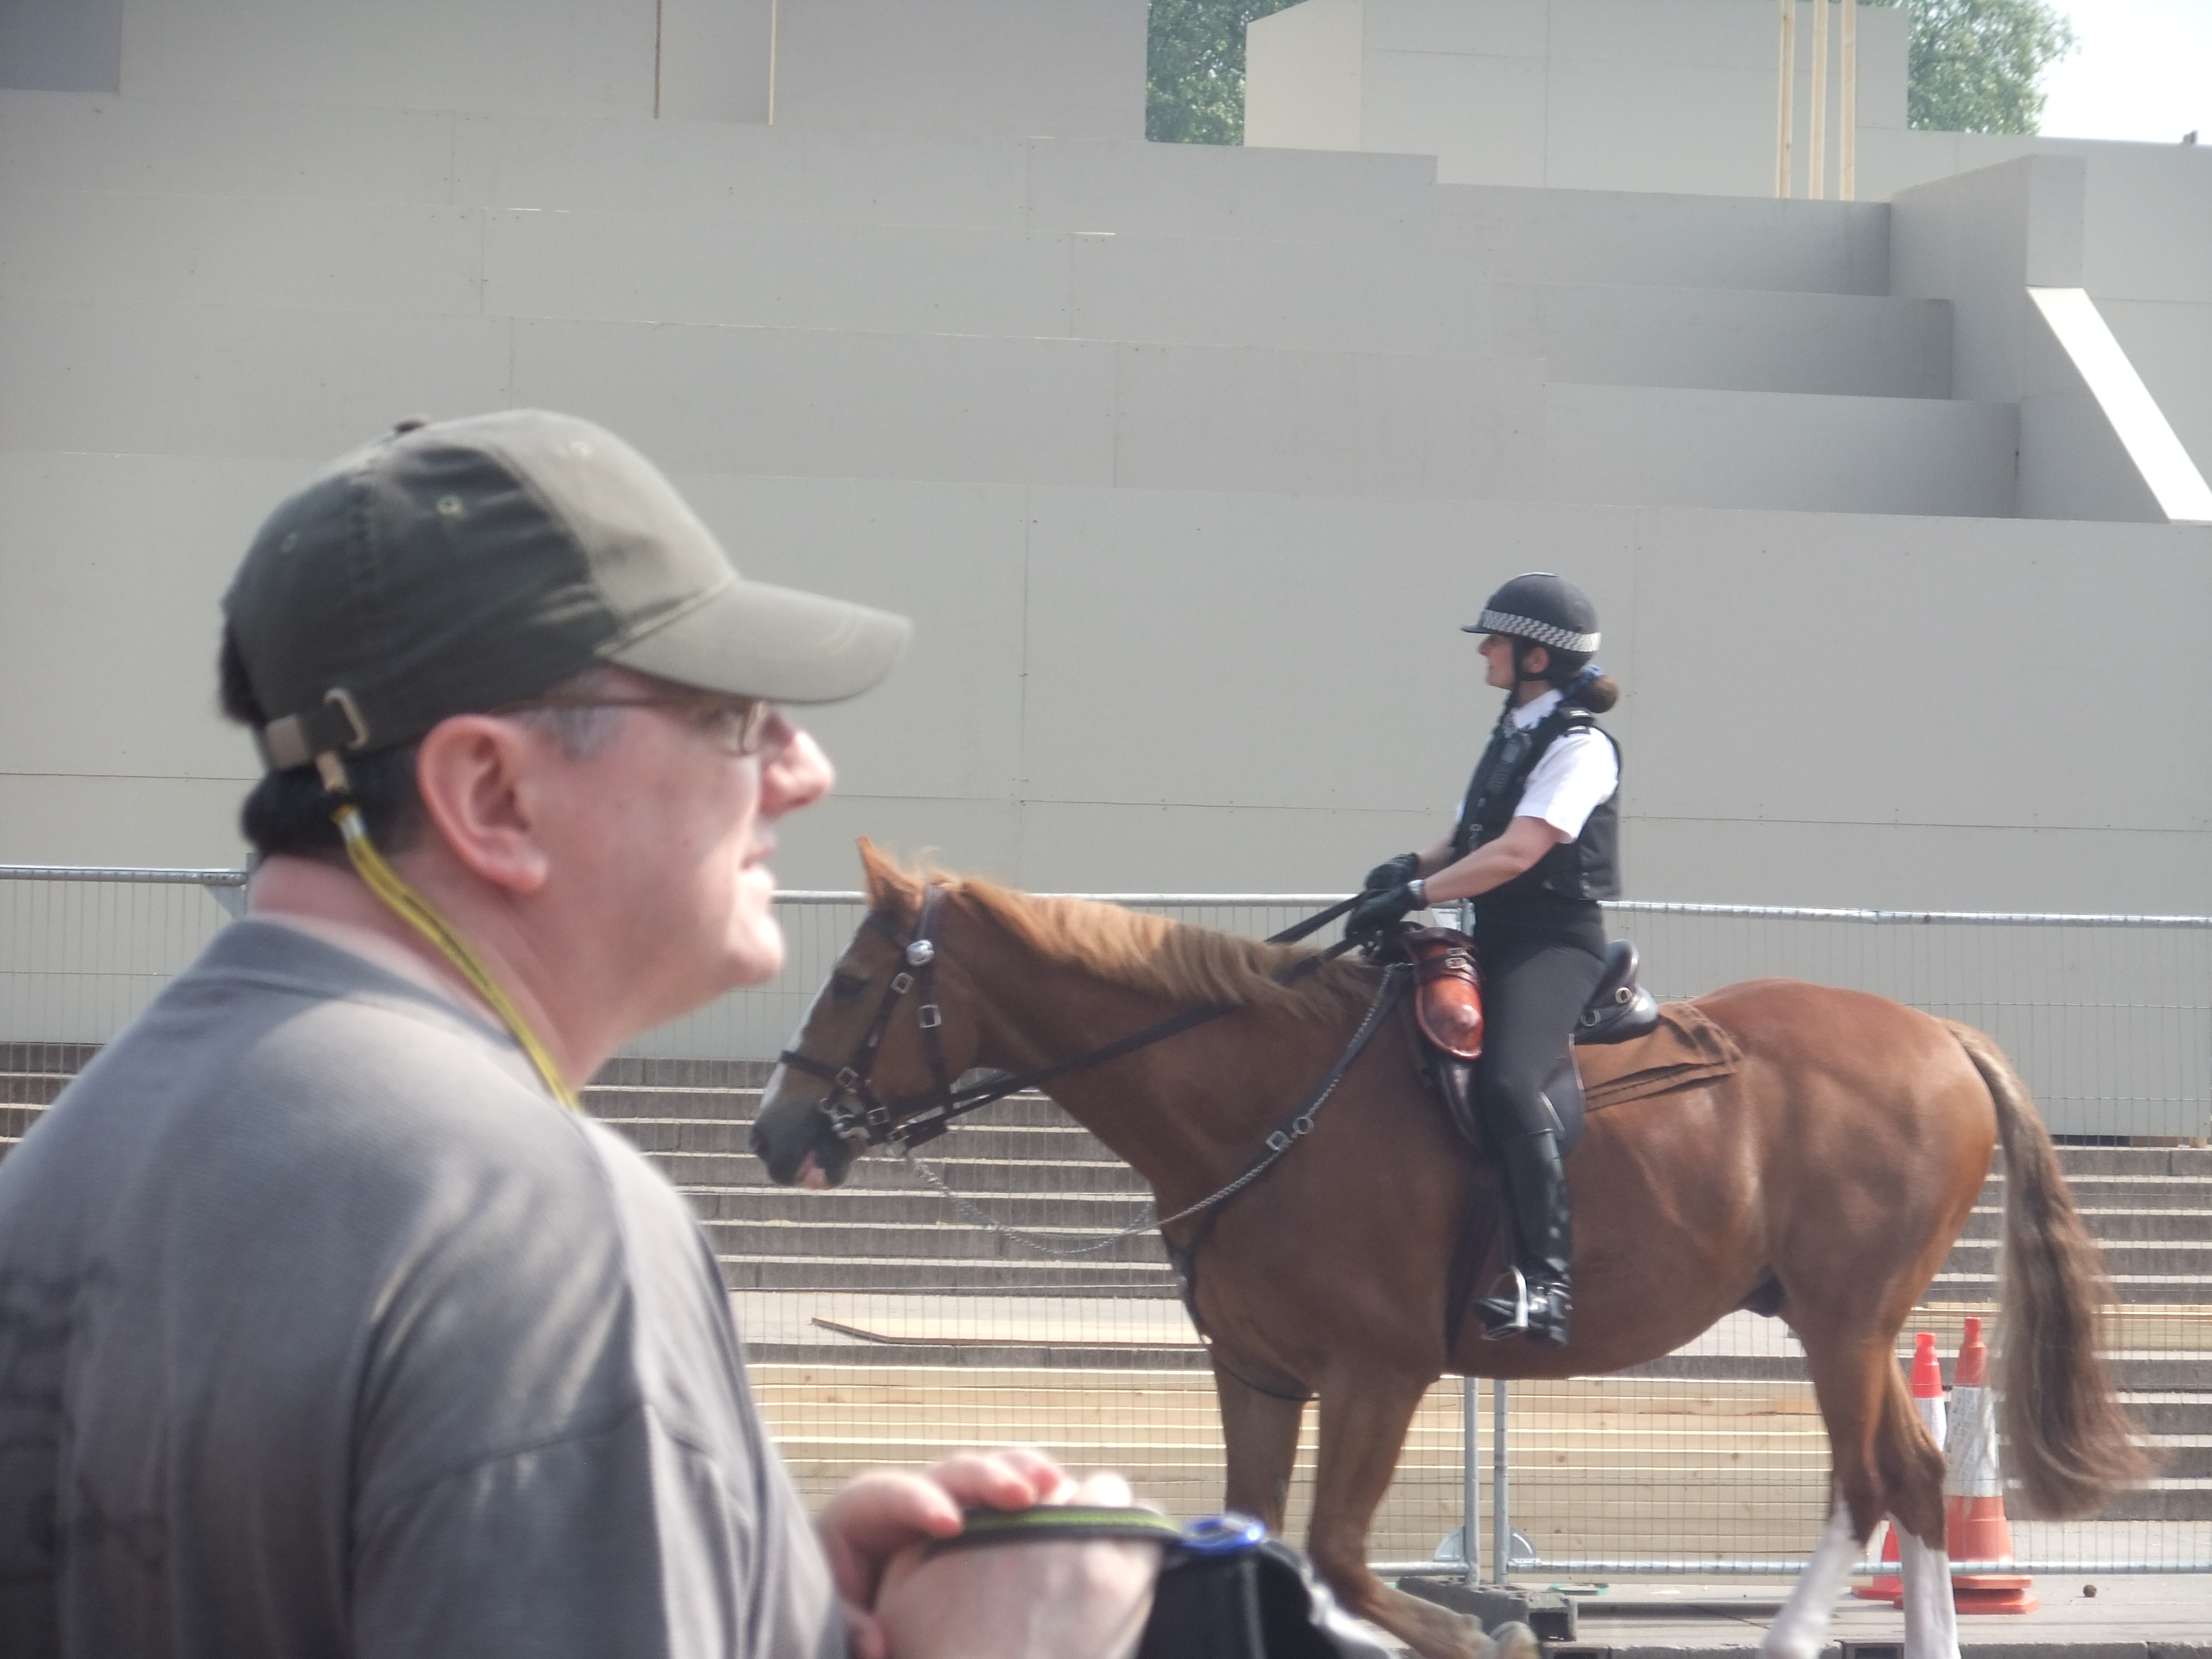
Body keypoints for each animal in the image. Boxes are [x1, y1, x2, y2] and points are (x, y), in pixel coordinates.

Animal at [750, 846, 2144, 1659]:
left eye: (852, 979)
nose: (774, 1133)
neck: (1264, 1097)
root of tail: (1938, 1034)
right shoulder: (1256, 1375)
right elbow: (1263, 1541)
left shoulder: (1377, 1373)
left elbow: (1343, 1563)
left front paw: (1488, 1637)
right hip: (1837, 1321)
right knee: (1913, 1481)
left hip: (1845, 1323)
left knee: (1865, 1486)